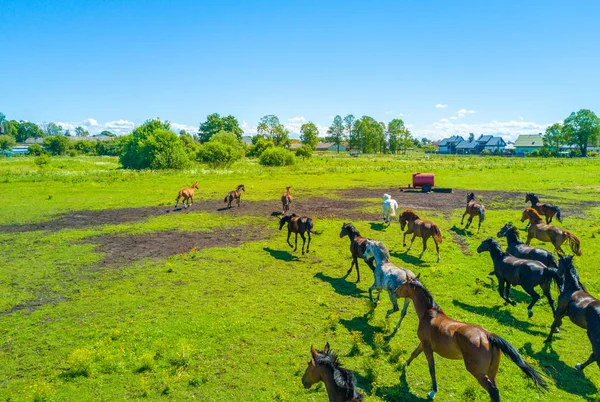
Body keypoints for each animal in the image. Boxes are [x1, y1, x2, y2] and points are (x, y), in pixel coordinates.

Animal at [396, 278, 548, 400]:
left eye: (403, 284)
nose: (395, 291)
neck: (430, 313)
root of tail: (488, 335)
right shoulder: (423, 343)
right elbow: (414, 353)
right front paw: (404, 364)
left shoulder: (427, 347)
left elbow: (431, 368)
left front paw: (433, 391)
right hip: (491, 372)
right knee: (495, 389)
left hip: (477, 371)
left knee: (493, 390)